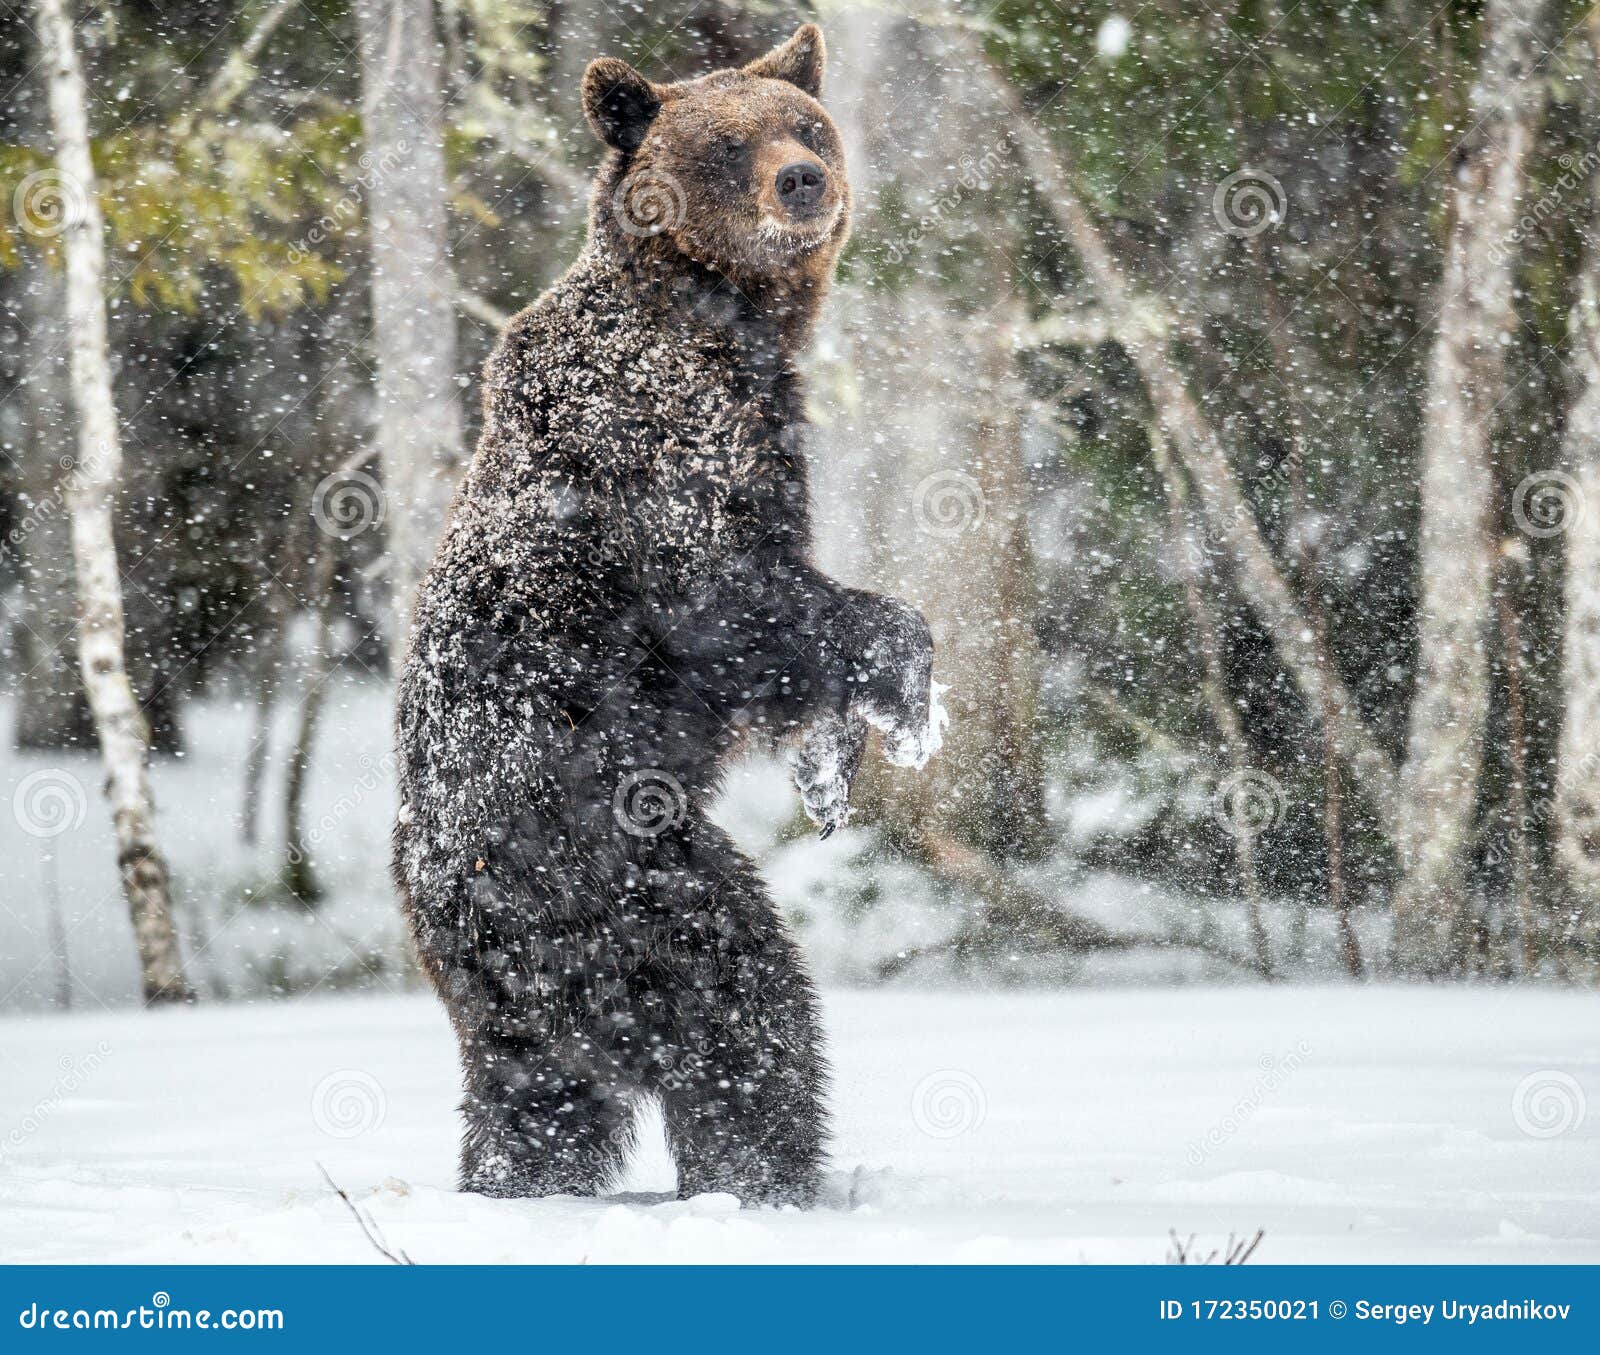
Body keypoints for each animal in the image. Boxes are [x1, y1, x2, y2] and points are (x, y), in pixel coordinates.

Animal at [398, 23, 940, 1209]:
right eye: (729, 143)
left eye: (808, 122)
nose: (803, 179)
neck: (722, 322)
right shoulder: (654, 445)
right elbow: (732, 598)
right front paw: (907, 688)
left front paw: (832, 770)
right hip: (611, 865)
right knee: (741, 1003)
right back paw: (769, 1174)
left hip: (507, 991)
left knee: (533, 1100)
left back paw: (515, 1182)